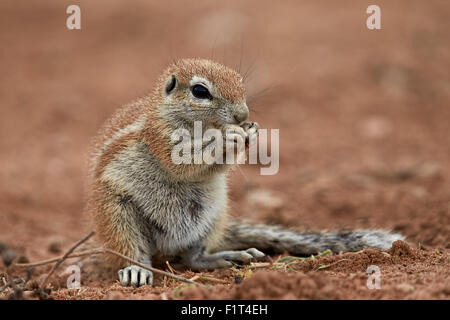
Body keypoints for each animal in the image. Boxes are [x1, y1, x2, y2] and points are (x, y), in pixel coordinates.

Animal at [86, 57, 402, 288]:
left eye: (240, 83)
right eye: (200, 91)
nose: (243, 115)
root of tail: (166, 248)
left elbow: (216, 166)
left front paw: (251, 132)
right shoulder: (161, 137)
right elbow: (184, 161)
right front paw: (228, 136)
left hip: (213, 214)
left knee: (193, 258)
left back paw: (226, 256)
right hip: (117, 216)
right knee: (132, 251)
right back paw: (135, 270)